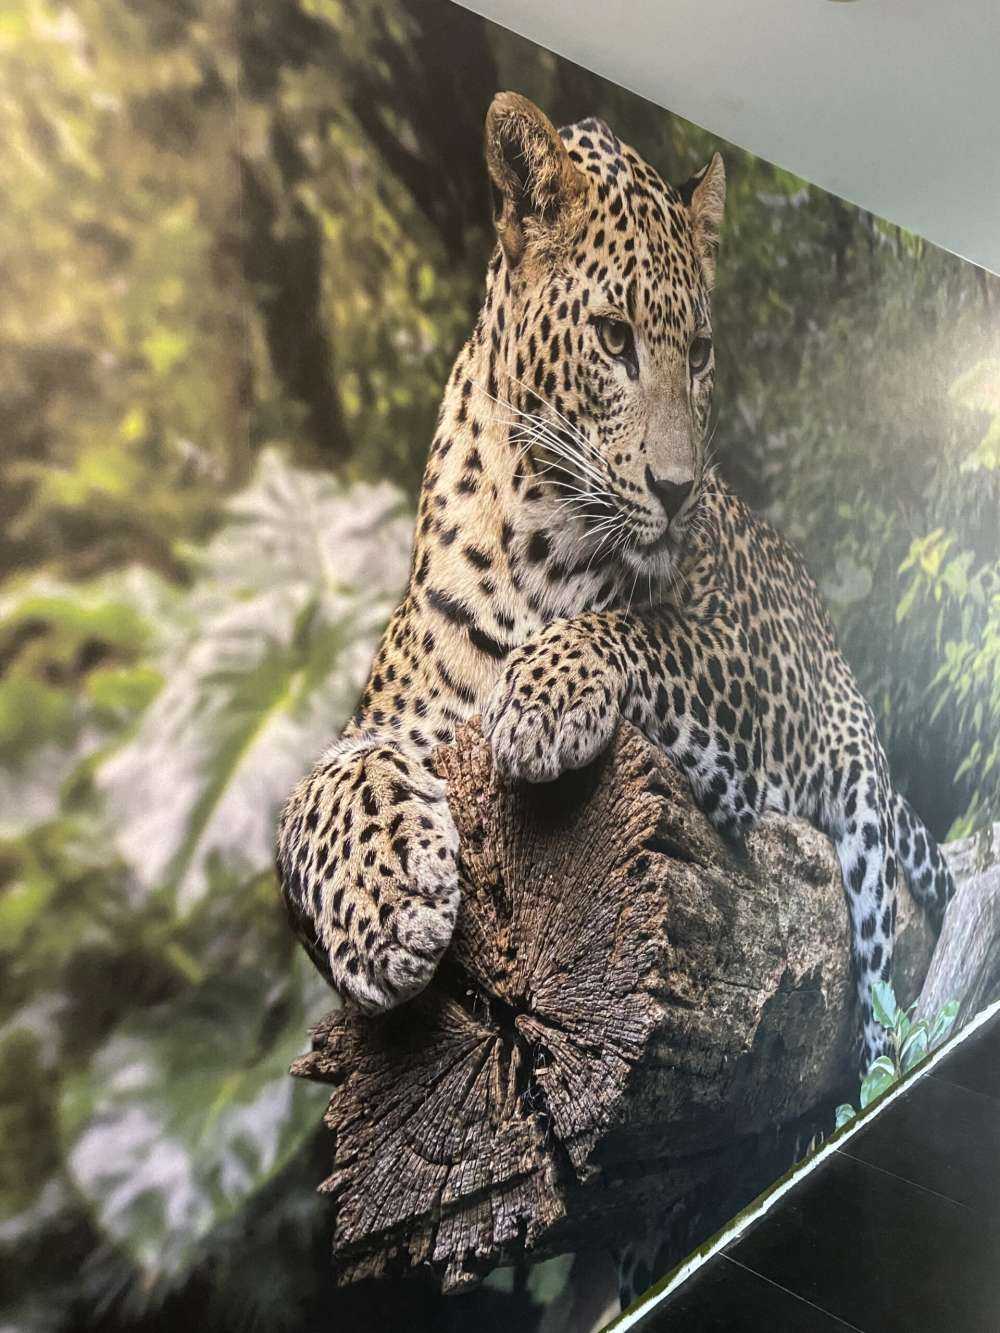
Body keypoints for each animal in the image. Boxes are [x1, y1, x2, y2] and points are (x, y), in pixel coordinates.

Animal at [276, 91, 956, 1313]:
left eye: (703, 352)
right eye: (612, 338)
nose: (681, 491)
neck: (539, 528)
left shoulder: (737, 670)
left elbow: (634, 628)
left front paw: (539, 694)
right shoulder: (385, 723)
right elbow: (322, 794)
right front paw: (388, 912)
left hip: (857, 804)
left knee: (879, 994)